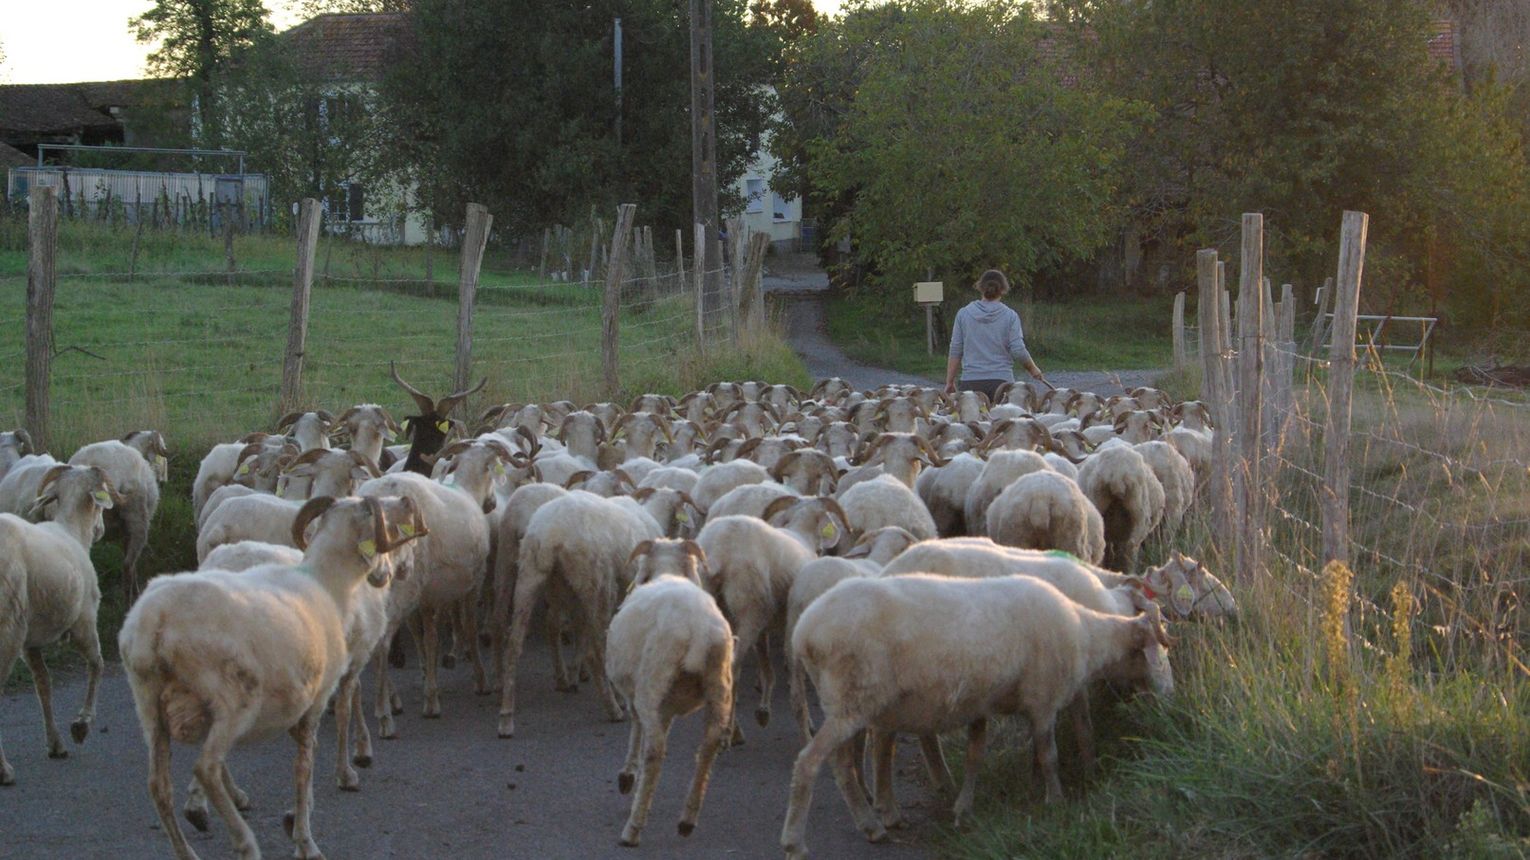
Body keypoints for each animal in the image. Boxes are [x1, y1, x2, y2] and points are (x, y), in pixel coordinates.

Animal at [0, 462, 117, 783]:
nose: (101, 530)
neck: (71, 530)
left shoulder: (31, 643)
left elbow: (44, 685)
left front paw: (55, 744)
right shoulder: (84, 621)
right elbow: (97, 664)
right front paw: (81, 724)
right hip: (9, 628)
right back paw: (4, 770)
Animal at [118, 492, 425, 856]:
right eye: (381, 520)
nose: (386, 575)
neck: (328, 583)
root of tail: (156, 621)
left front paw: (296, 817)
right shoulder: (319, 697)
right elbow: (306, 762)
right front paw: (306, 837)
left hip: (149, 706)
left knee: (158, 784)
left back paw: (188, 849)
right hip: (232, 699)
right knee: (206, 767)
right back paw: (244, 842)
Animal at [602, 538, 734, 838]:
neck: (668, 572)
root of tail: (698, 630)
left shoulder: (637, 695)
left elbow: (637, 728)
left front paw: (628, 776)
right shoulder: (667, 707)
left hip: (653, 680)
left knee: (655, 750)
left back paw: (633, 828)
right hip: (719, 687)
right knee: (709, 745)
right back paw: (687, 818)